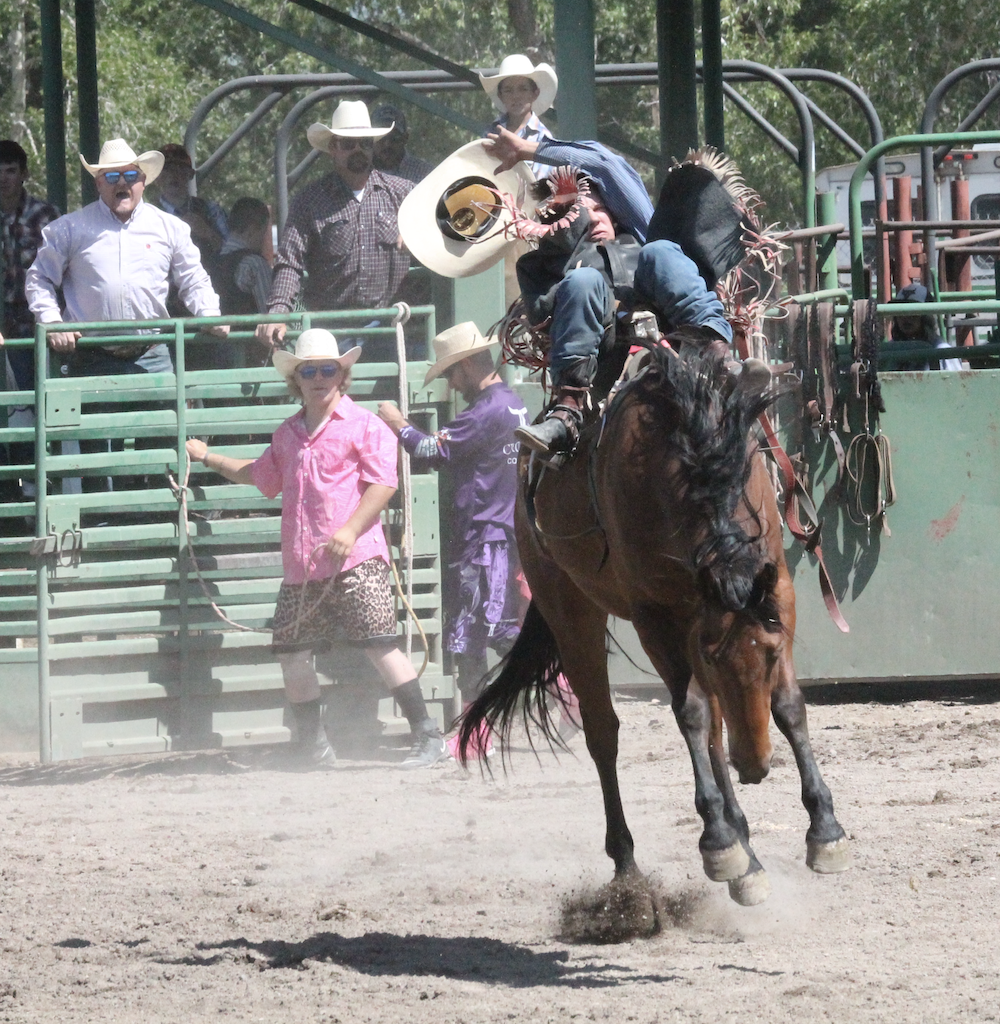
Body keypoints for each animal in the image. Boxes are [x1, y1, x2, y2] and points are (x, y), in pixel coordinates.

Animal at [458, 345, 850, 907]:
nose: (755, 766)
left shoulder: (775, 591)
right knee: (606, 732)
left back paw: (747, 854)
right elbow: (689, 714)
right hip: (568, 607)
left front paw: (824, 830)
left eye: (773, 655)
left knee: (714, 729)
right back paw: (633, 867)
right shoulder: (655, 617)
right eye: (717, 662)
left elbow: (788, 705)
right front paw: (718, 843)